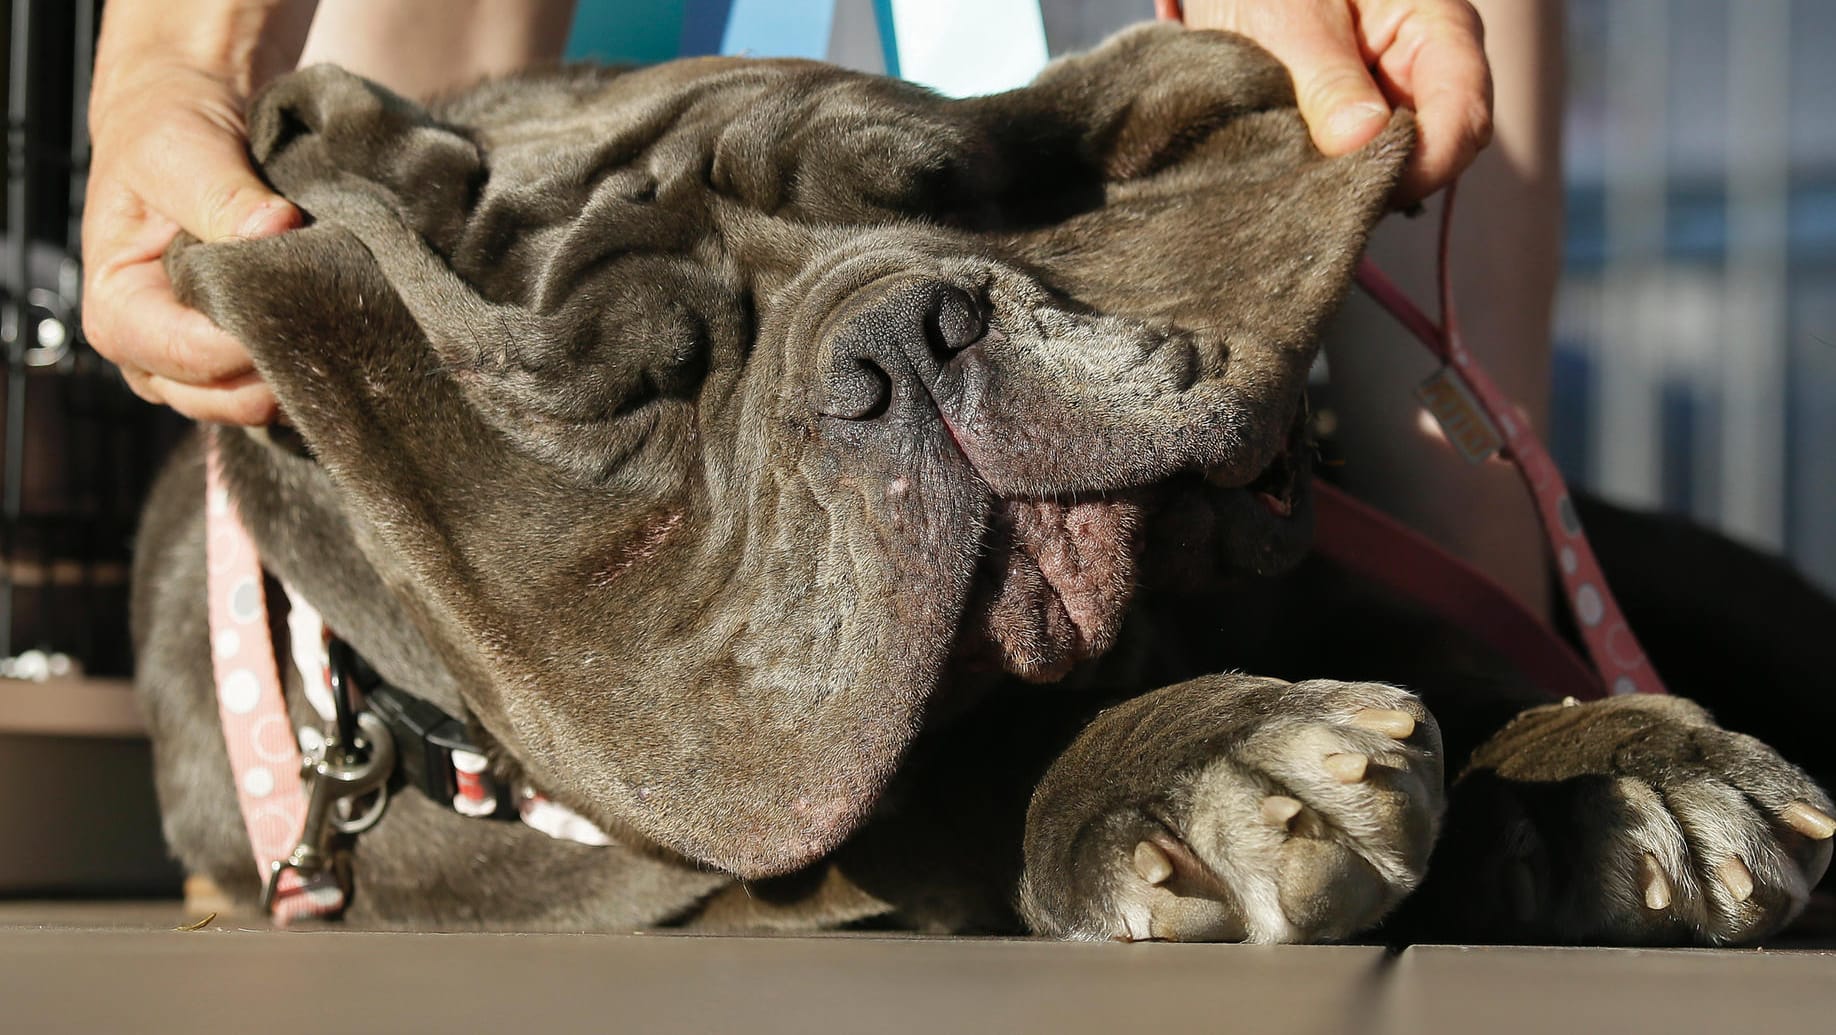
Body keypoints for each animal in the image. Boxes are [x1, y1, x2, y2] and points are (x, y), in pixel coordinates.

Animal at [139, 26, 1836, 946]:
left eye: (943, 191)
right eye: (641, 383)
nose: (903, 328)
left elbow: (1462, 646)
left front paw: (1609, 764)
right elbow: (974, 779)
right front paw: (1190, 768)